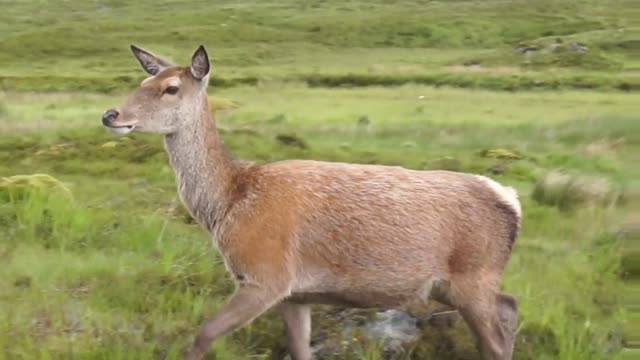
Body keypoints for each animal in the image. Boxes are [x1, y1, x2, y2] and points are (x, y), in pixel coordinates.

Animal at [100, 45, 520, 360]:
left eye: (171, 88)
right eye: (143, 80)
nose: (110, 114)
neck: (229, 203)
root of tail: (511, 202)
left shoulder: (265, 274)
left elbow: (204, 334)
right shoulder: (296, 294)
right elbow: (300, 350)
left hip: (474, 274)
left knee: (496, 340)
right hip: (455, 285)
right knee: (510, 306)